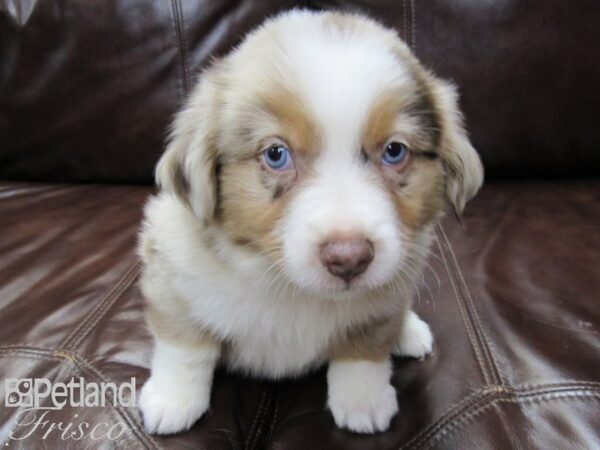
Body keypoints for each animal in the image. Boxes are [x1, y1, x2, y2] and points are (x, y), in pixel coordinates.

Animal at [136, 7, 482, 436]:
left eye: (394, 151)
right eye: (276, 154)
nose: (349, 259)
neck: (290, 287)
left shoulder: (384, 299)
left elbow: (365, 347)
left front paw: (363, 401)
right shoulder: (170, 272)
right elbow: (185, 343)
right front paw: (173, 400)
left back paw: (409, 331)